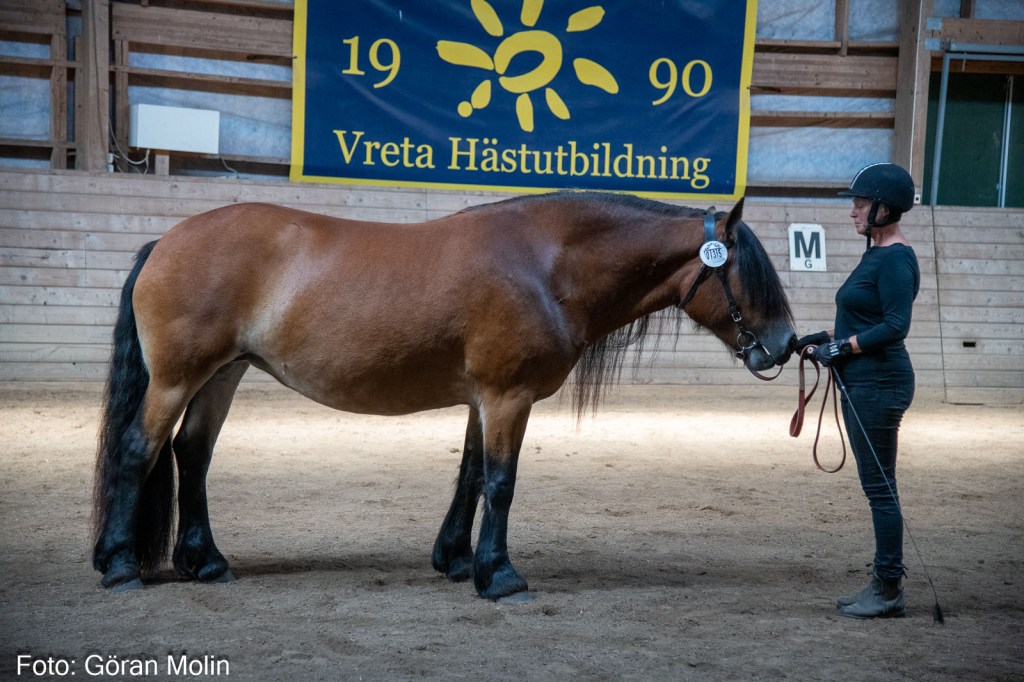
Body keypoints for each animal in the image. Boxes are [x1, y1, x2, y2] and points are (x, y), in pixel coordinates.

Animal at [92, 190, 796, 599]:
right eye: (747, 273)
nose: (787, 344)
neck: (546, 264)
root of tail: (165, 242)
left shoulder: (484, 398)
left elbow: (471, 474)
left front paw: (456, 560)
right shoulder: (509, 396)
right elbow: (501, 482)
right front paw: (499, 576)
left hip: (224, 374)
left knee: (192, 455)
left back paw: (205, 561)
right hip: (179, 378)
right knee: (138, 451)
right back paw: (121, 566)